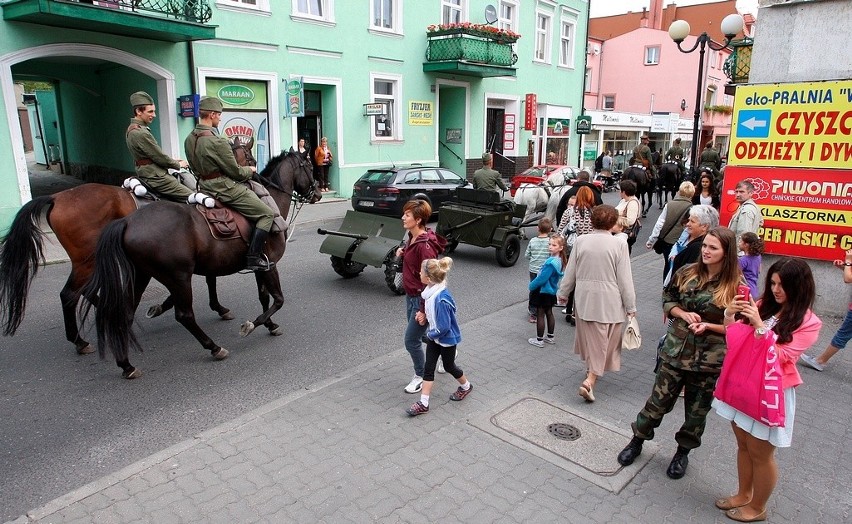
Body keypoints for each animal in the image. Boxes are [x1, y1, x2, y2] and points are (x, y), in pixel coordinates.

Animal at [0, 185, 233, 356]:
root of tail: (57, 197)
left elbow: (210, 278)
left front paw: (217, 307)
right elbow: (206, 280)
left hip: (89, 263)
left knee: (85, 292)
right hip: (87, 262)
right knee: (69, 295)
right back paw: (81, 340)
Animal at [81, 149, 322, 378]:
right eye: (310, 166)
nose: (318, 193)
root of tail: (128, 222)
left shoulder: (260, 268)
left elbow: (263, 297)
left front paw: (270, 325)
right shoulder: (270, 265)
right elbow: (278, 299)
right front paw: (252, 325)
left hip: (143, 275)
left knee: (128, 313)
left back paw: (126, 364)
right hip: (178, 277)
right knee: (184, 315)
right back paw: (214, 348)